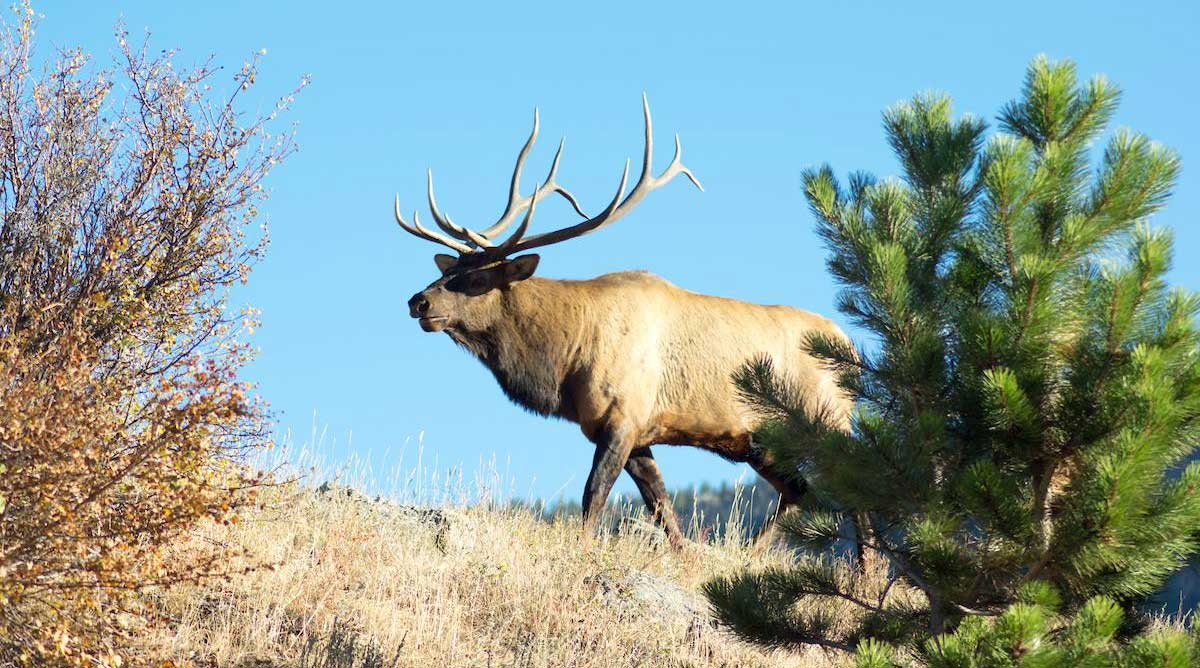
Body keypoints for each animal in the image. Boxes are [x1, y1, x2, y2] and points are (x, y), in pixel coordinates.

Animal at [393, 96, 854, 544]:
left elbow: (594, 495)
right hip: (763, 444)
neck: (566, 363)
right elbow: (662, 507)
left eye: (477, 278)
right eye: (449, 270)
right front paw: (687, 555)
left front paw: (582, 550)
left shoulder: (622, 417)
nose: (419, 302)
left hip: (828, 425)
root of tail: (849, 346)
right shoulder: (632, 431)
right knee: (798, 492)